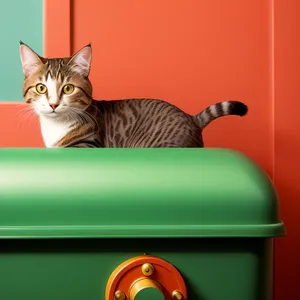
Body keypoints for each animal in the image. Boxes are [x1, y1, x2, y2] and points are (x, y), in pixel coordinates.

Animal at [19, 42, 248, 148]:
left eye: (67, 89)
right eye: (41, 88)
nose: (53, 104)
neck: (55, 128)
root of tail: (191, 118)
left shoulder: (89, 144)